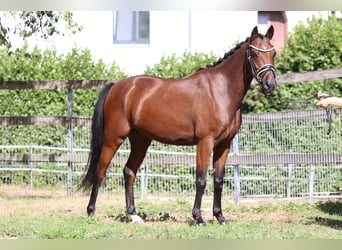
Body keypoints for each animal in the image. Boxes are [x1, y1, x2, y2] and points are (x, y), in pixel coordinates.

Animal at [81, 25, 278, 227]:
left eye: (274, 53)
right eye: (254, 53)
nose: (270, 84)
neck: (221, 90)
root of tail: (116, 86)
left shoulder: (224, 145)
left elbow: (218, 180)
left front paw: (220, 217)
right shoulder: (205, 143)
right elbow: (201, 180)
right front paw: (198, 218)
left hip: (140, 141)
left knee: (129, 171)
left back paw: (133, 215)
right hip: (113, 139)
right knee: (100, 171)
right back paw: (91, 211)